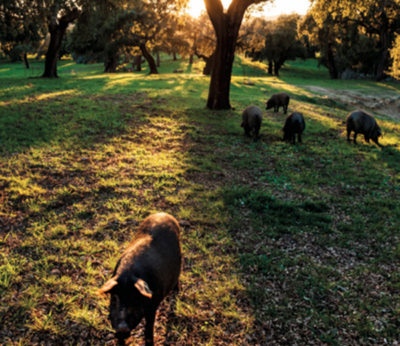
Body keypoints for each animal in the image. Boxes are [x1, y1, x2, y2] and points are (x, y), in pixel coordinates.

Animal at [99, 214, 183, 346]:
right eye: (113, 299)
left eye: (135, 298)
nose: (122, 328)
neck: (128, 274)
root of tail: (165, 214)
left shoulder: (153, 305)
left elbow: (148, 328)